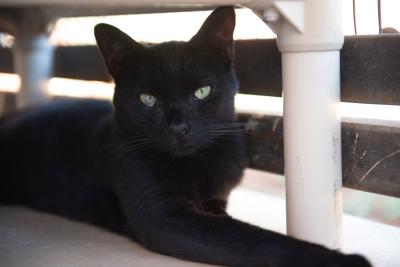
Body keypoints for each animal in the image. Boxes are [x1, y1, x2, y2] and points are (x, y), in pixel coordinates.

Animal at [0, 6, 370, 267]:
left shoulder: (215, 200)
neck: (199, 163)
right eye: (148, 99)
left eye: (202, 92)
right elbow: (252, 238)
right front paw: (345, 261)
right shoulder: (166, 218)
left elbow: (233, 224)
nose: (178, 126)